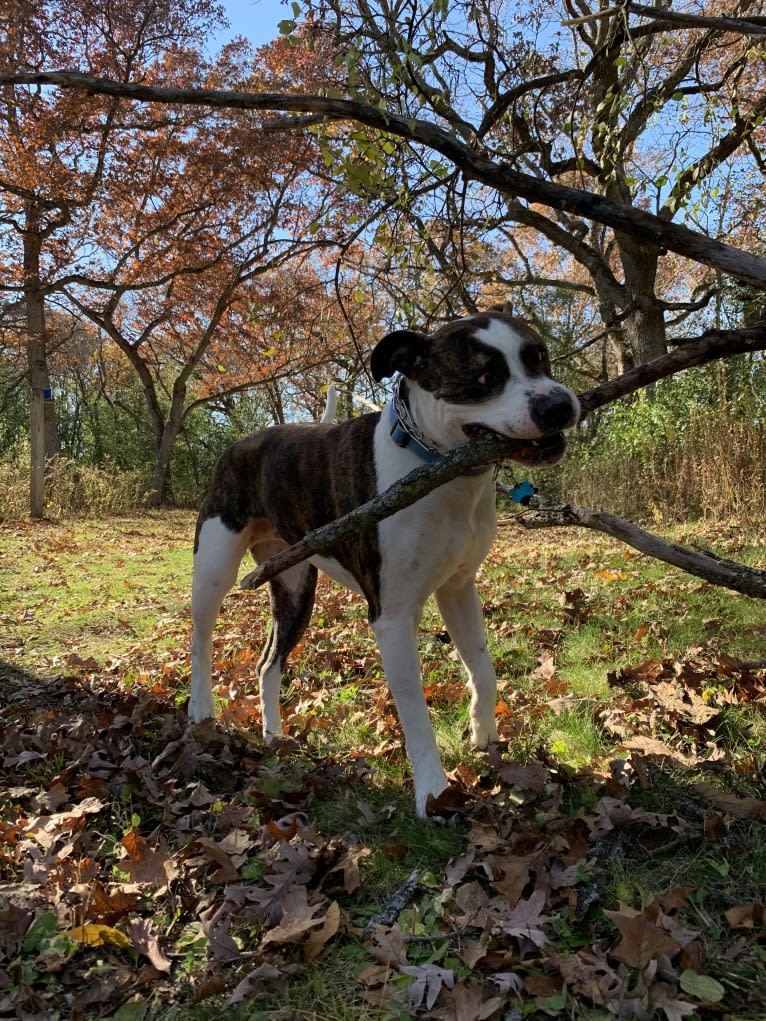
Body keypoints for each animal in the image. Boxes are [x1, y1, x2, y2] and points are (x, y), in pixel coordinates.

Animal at [188, 306, 580, 816]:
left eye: (539, 358)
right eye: (483, 378)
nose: (559, 405)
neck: (437, 468)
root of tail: (241, 443)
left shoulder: (459, 589)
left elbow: (482, 666)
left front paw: (485, 737)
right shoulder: (392, 619)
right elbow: (415, 712)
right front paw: (433, 792)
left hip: (295, 590)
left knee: (268, 664)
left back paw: (274, 736)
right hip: (213, 570)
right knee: (201, 637)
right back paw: (201, 710)